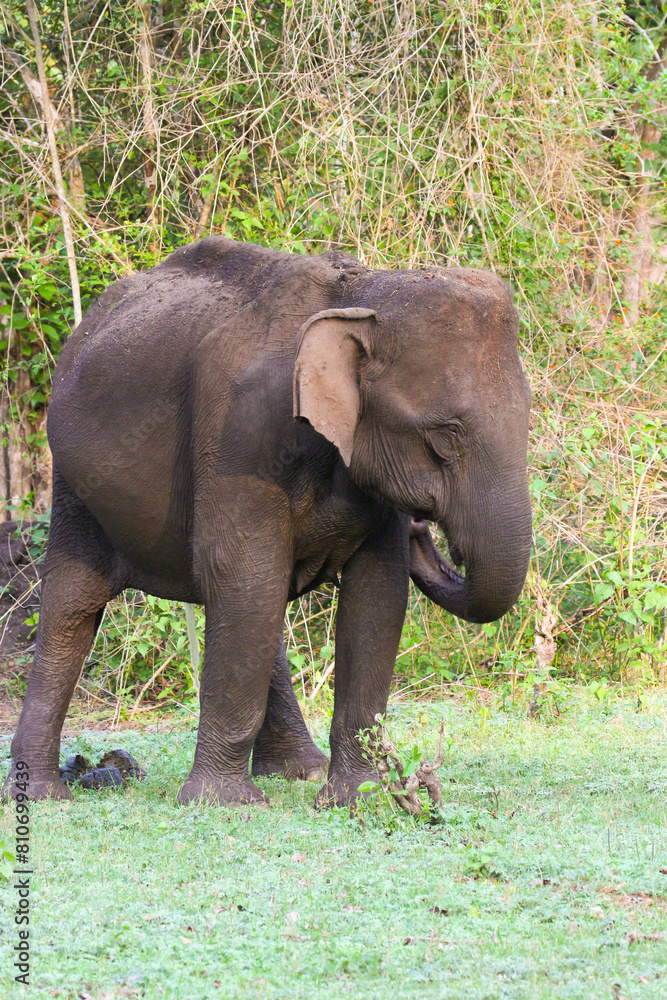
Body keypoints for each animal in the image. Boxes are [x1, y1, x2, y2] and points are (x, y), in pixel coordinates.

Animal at [1, 238, 532, 808]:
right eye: (442, 438)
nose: (421, 530)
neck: (364, 292)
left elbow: (378, 591)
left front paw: (358, 798)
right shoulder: (238, 428)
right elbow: (242, 571)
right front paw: (224, 805)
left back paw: (299, 771)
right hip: (74, 481)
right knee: (75, 602)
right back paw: (42, 795)